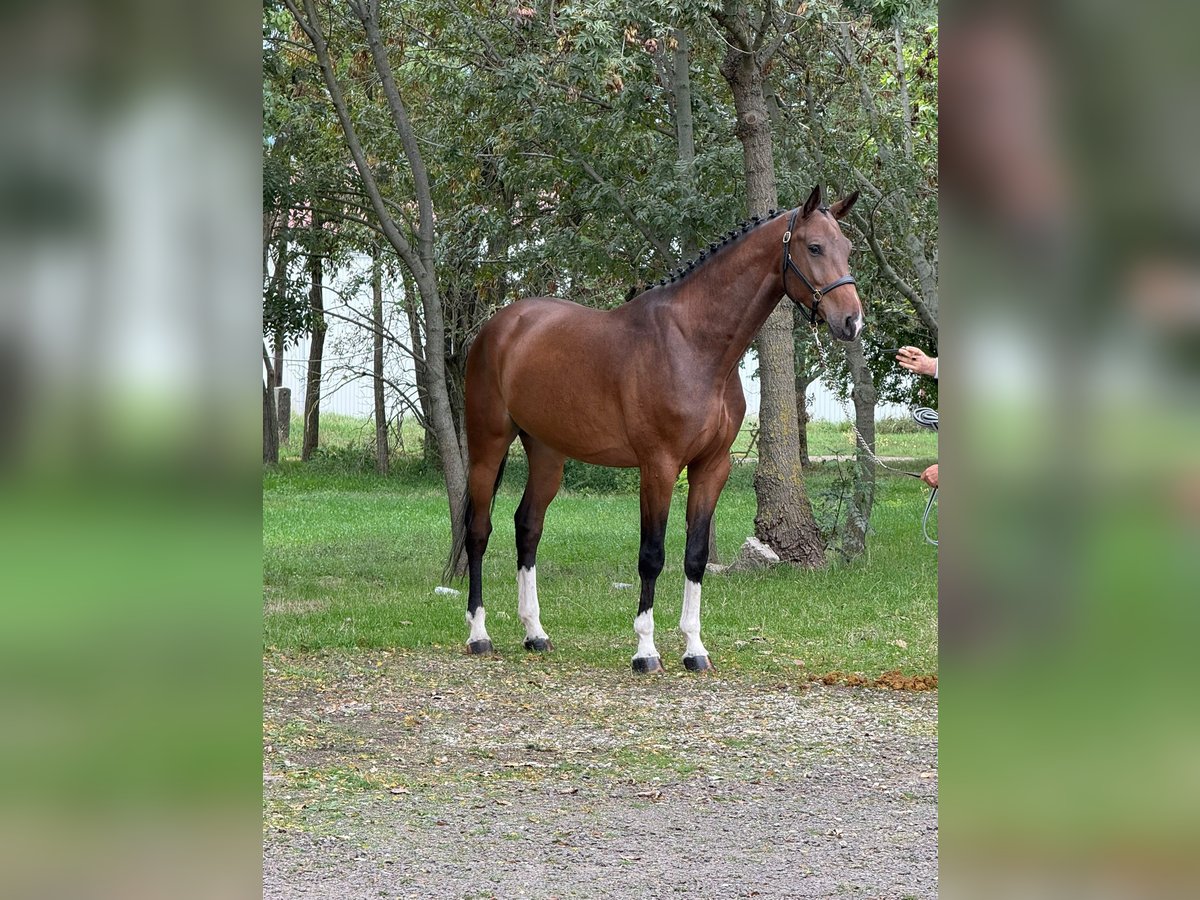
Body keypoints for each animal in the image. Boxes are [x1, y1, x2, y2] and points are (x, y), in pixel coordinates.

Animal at [451, 187, 864, 672]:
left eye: (848, 248)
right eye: (814, 247)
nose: (852, 322)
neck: (693, 344)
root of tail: (498, 327)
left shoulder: (711, 467)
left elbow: (695, 556)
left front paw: (695, 649)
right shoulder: (659, 466)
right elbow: (652, 555)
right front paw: (645, 650)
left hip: (548, 454)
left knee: (527, 528)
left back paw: (535, 633)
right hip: (488, 446)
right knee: (478, 532)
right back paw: (479, 634)